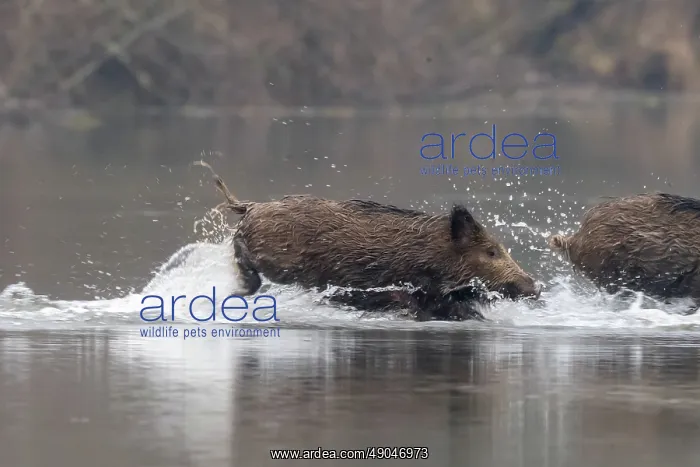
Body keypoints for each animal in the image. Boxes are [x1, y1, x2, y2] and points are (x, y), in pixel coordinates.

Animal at [195, 161, 541, 321]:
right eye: (491, 252)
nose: (536, 287)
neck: (433, 253)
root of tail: (251, 206)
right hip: (273, 258)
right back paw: (237, 291)